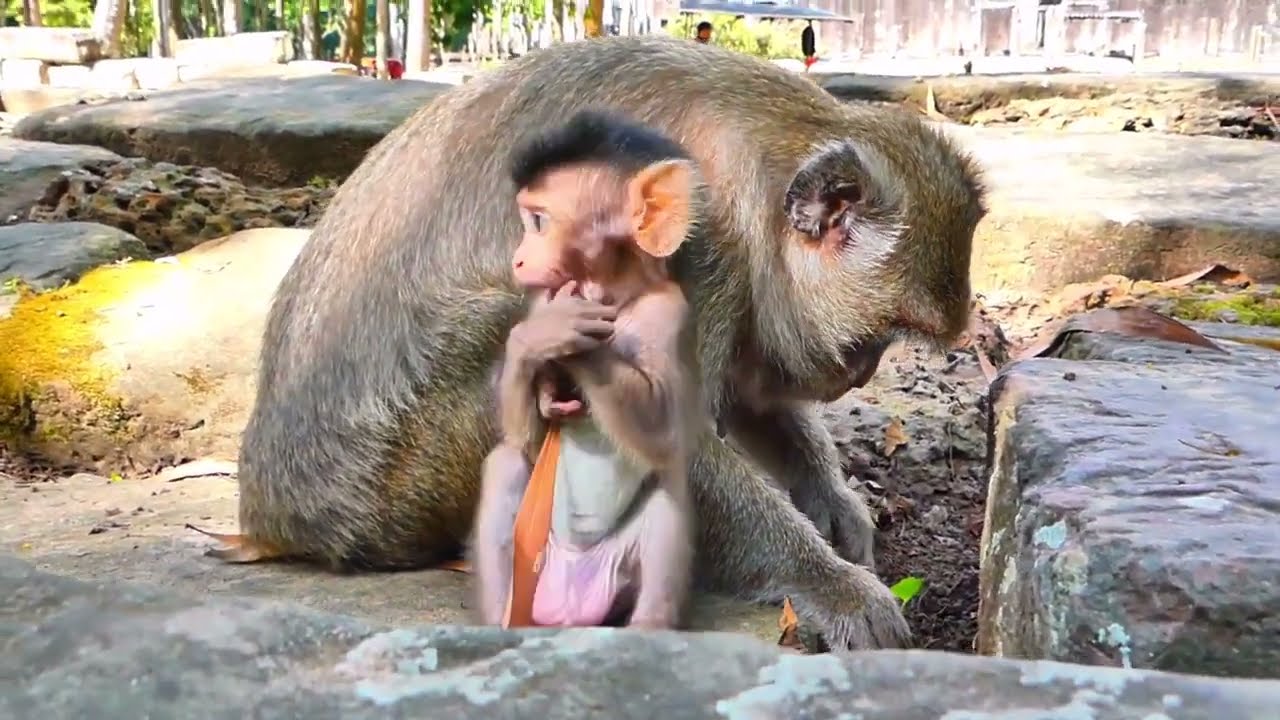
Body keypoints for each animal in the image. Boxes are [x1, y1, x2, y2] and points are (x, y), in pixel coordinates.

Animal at [475, 109, 702, 630]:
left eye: (538, 222)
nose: (518, 258)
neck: (617, 295)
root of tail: (569, 606)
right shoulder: (538, 297)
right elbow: (525, 439)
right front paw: (542, 353)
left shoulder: (669, 312)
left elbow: (663, 432)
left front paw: (577, 341)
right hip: (533, 563)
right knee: (506, 464)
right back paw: (498, 622)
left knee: (666, 494)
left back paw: (648, 629)